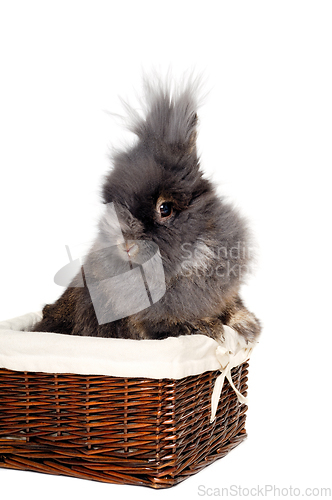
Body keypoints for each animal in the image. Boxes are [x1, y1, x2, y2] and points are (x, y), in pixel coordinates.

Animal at [33, 77, 262, 344]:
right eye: (114, 207)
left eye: (165, 208)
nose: (126, 245)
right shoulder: (142, 325)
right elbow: (167, 325)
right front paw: (208, 328)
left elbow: (232, 307)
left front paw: (248, 325)